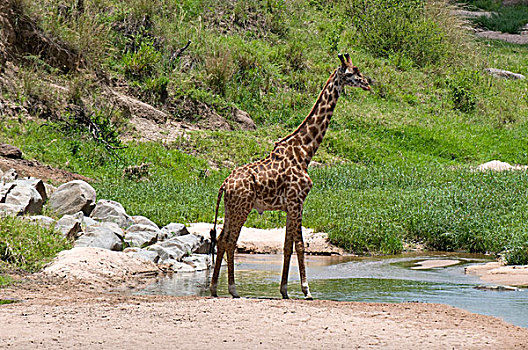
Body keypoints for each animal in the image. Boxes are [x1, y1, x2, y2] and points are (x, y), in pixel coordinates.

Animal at [208, 53, 370, 300]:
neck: (305, 152)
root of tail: (225, 184)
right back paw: (232, 289)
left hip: (230, 208)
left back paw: (215, 288)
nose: (368, 84)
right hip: (242, 207)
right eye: (352, 73)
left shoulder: (288, 206)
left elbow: (287, 246)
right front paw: (306, 290)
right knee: (230, 241)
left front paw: (284, 290)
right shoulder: (297, 201)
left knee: (221, 239)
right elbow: (300, 245)